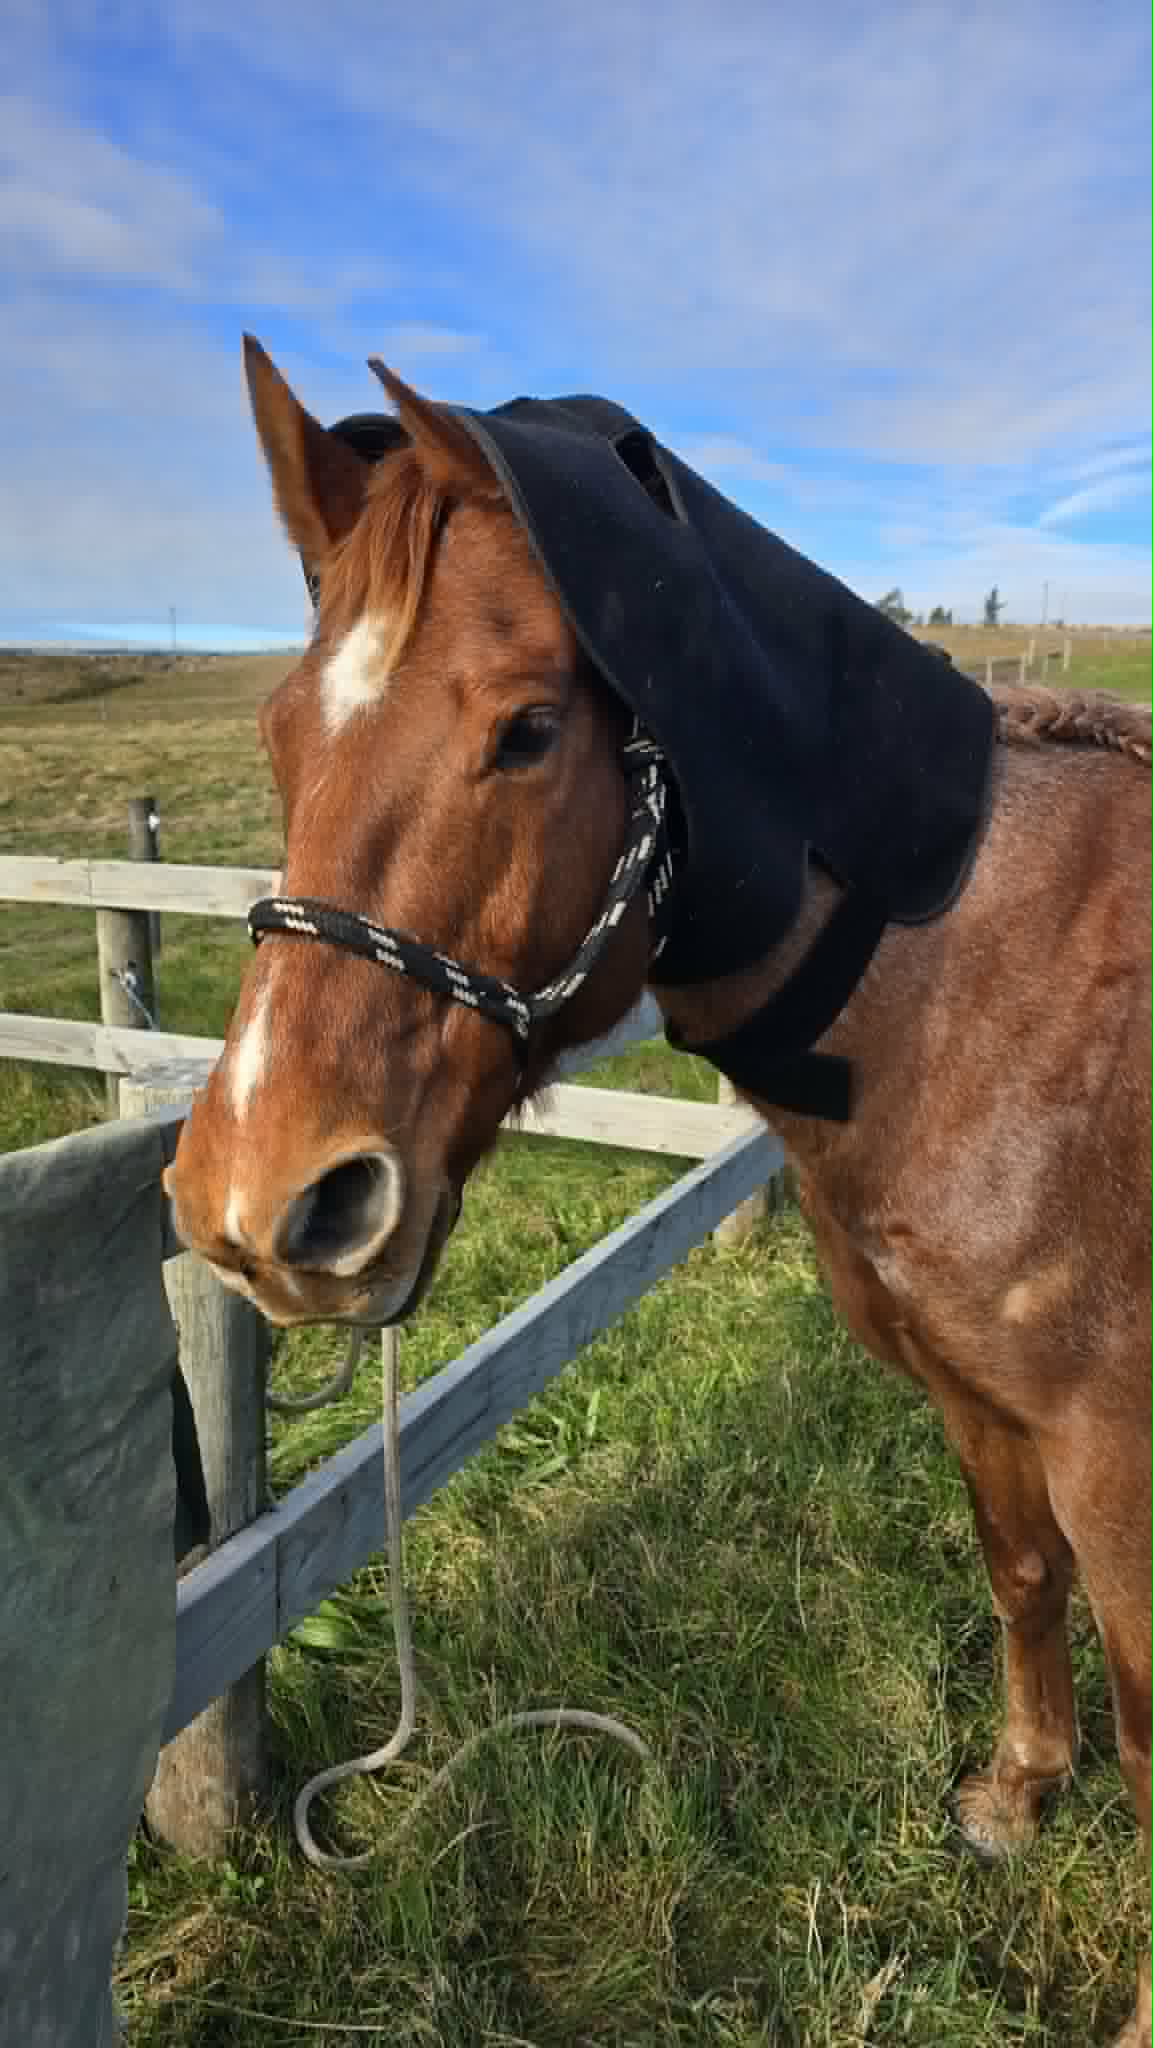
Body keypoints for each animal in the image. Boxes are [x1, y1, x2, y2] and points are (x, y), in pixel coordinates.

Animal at [166, 336, 1151, 2045]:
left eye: (525, 731)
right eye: (284, 735)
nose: (262, 1201)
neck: (975, 990)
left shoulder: (1119, 1454)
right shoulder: (980, 1398)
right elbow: (1020, 1574)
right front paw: (1019, 1795)